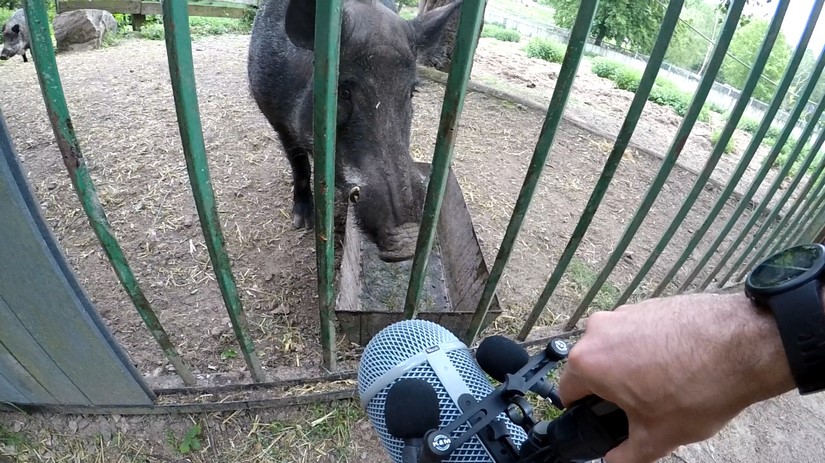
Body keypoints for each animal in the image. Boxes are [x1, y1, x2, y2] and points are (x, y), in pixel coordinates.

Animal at [248, 0, 461, 262]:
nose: (408, 240)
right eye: (343, 91)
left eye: (412, 92)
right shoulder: (275, 117)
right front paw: (303, 222)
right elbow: (299, 166)